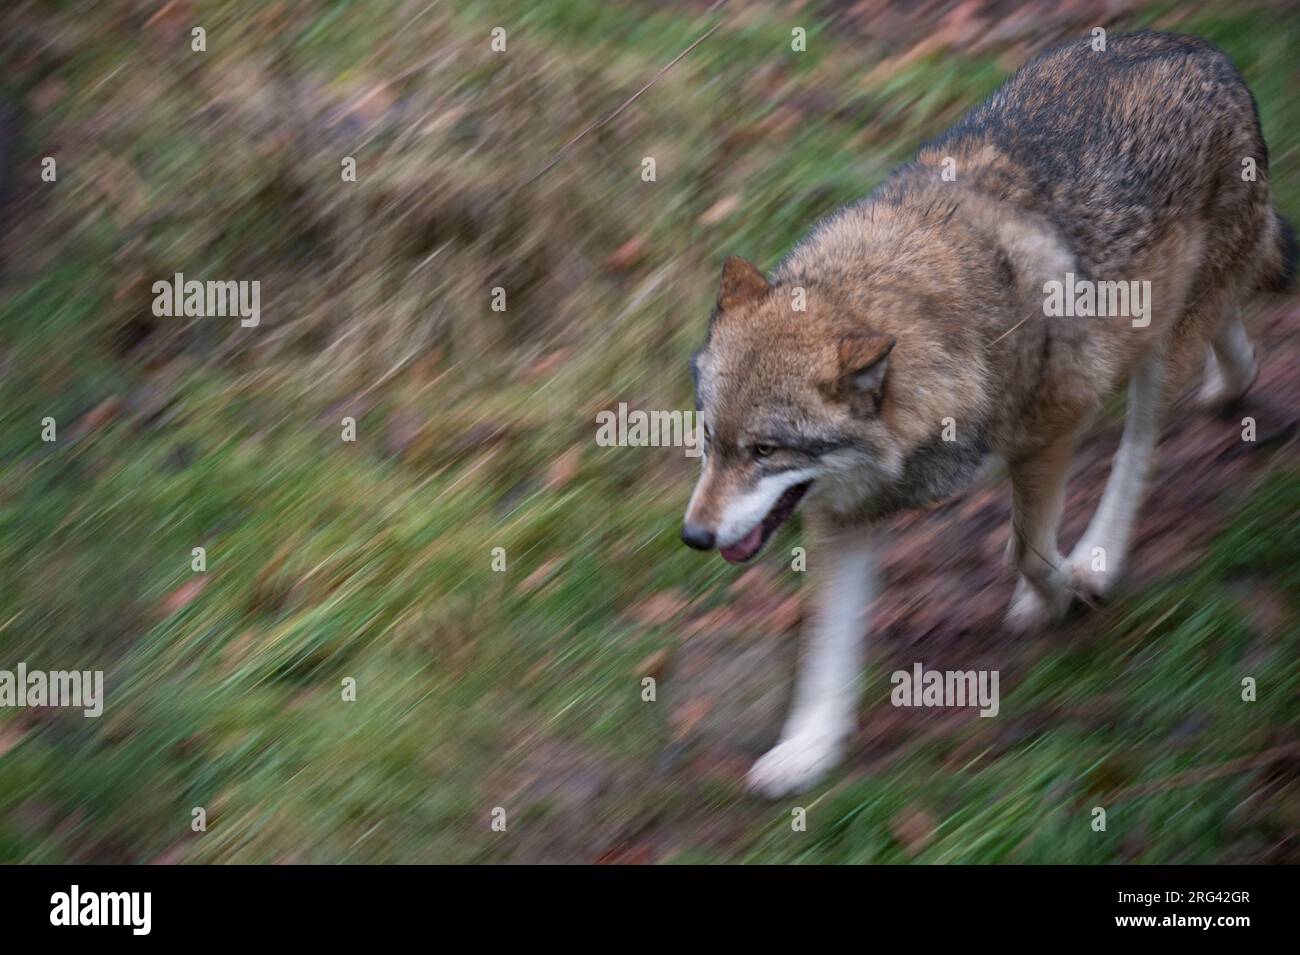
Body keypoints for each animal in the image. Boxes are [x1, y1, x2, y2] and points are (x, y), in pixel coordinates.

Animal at [681, 32, 1295, 797]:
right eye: (711, 439)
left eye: (765, 450)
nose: (694, 536)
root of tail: (1205, 50)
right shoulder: (846, 517)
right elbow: (825, 649)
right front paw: (809, 750)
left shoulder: (1051, 432)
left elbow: (1024, 550)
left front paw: (1058, 593)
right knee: (1233, 332)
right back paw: (1232, 385)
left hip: (1148, 357)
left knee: (1138, 447)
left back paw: (1096, 559)